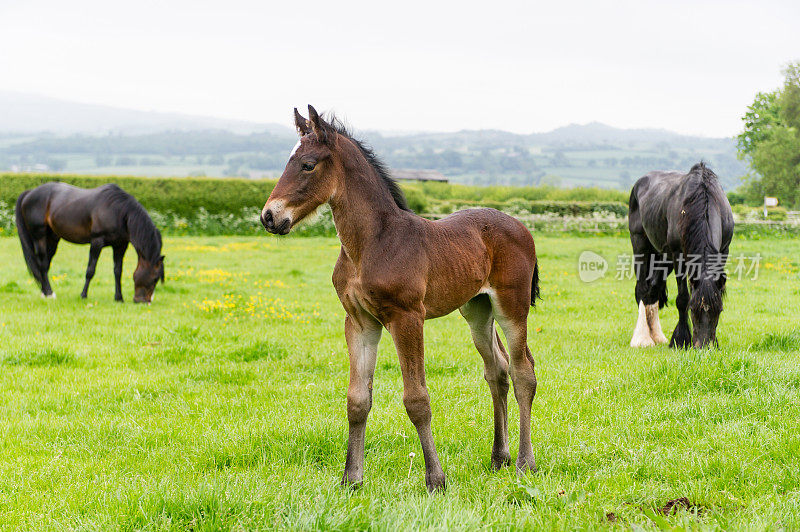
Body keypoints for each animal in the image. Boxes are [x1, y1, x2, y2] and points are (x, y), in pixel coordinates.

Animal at [14, 182, 164, 304]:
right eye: (155, 278)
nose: (144, 301)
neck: (118, 211)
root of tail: (30, 193)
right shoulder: (97, 242)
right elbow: (90, 270)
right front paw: (83, 295)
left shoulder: (120, 246)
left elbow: (118, 271)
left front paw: (119, 298)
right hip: (39, 236)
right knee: (42, 264)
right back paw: (49, 293)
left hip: (52, 238)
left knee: (45, 265)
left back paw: (45, 292)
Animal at [260, 106, 540, 492]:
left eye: (308, 164)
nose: (269, 216)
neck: (372, 243)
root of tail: (521, 227)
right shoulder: (360, 323)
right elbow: (357, 399)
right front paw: (351, 479)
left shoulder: (407, 317)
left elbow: (417, 399)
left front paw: (435, 479)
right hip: (476, 311)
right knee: (497, 371)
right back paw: (499, 457)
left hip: (511, 308)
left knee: (523, 372)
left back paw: (525, 464)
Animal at [628, 164, 736, 352]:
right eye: (693, 310)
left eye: (719, 310)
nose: (704, 346)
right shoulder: (678, 255)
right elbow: (682, 299)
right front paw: (681, 340)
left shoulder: (723, 251)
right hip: (640, 244)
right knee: (642, 289)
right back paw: (642, 339)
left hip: (663, 257)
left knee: (653, 290)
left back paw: (657, 337)